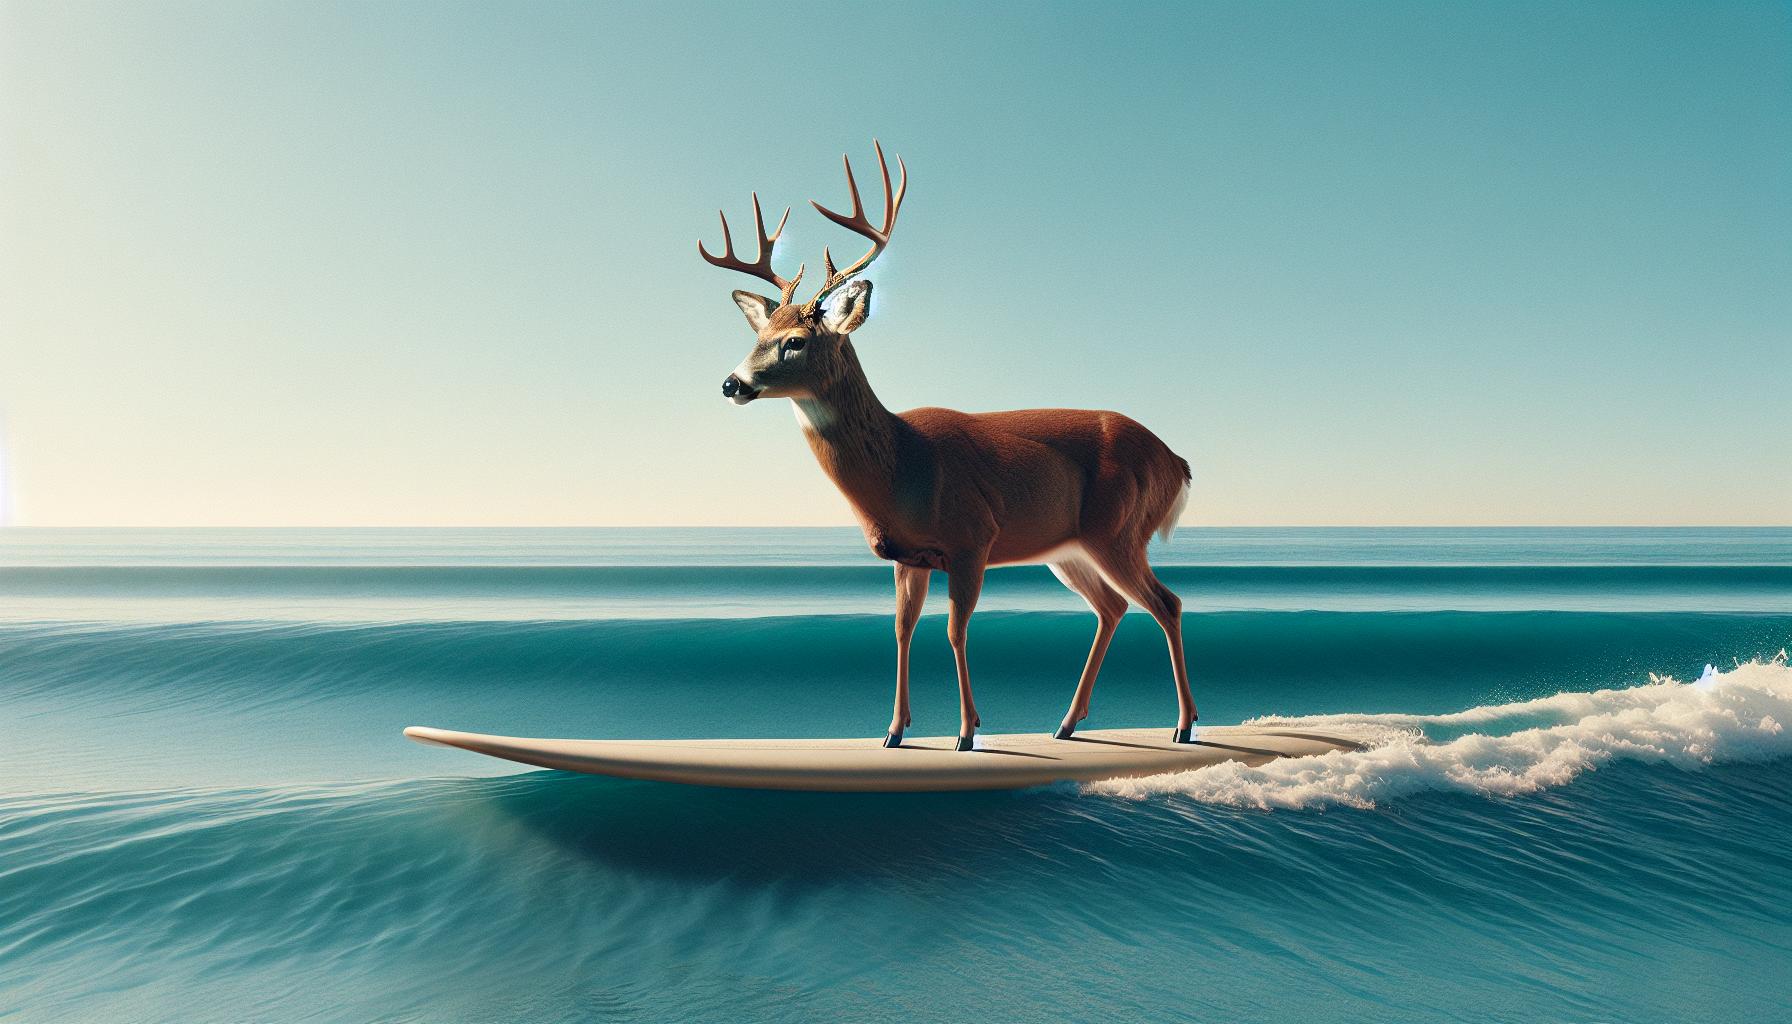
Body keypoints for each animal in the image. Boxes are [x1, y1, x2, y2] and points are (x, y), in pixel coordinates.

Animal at [701, 141, 1196, 752]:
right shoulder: (907, 557)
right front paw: (893, 731)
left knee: (1166, 603)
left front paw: (966, 732)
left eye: (794, 342)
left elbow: (956, 631)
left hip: (1119, 528)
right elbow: (901, 630)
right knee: (1113, 607)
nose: (732, 384)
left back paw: (1183, 725)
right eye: (757, 336)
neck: (901, 467)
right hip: (1070, 548)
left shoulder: (972, 537)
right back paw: (1066, 724)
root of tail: (1176, 461)